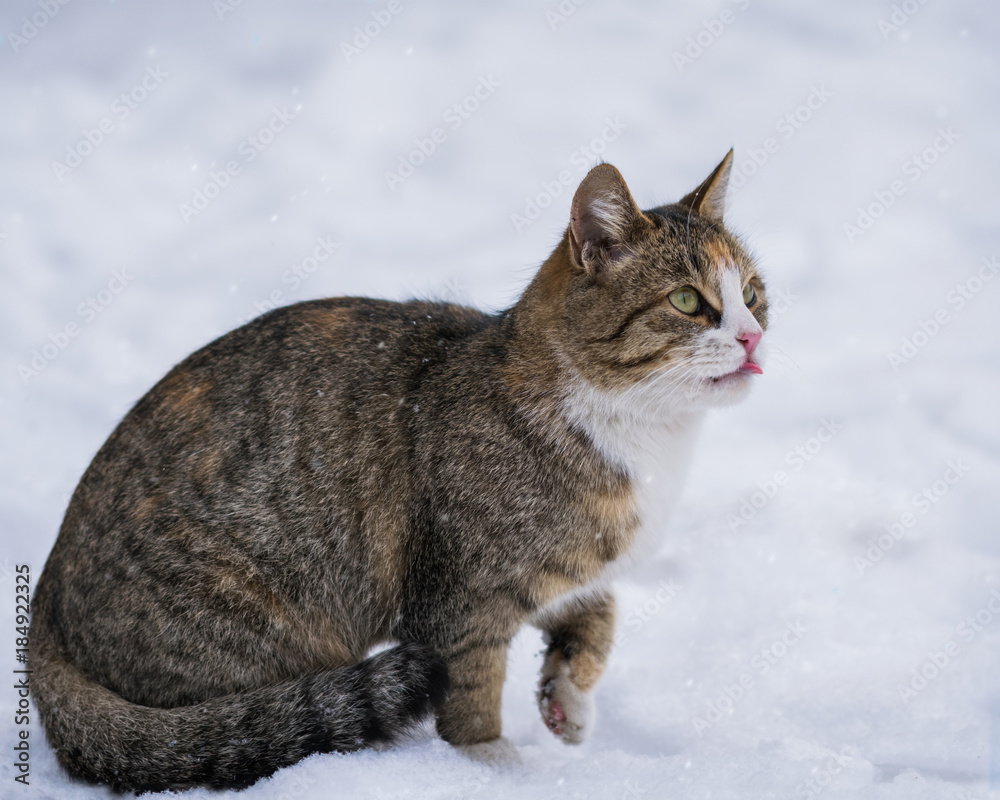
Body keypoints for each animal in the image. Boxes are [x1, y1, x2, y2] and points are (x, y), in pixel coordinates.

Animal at [29, 152, 764, 792]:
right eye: (687, 301)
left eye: (754, 294)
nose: (754, 335)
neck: (644, 438)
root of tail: (45, 608)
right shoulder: (461, 596)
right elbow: (471, 693)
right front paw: (493, 767)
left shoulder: (573, 565)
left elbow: (600, 611)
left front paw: (568, 698)